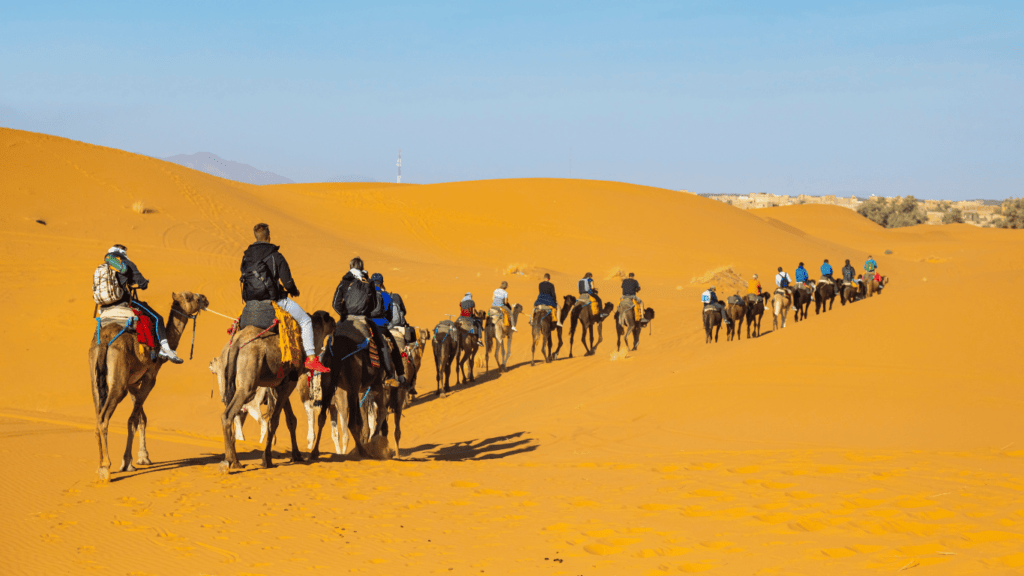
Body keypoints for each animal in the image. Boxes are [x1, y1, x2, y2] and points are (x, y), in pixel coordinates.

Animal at [90, 289, 207, 477]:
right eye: (189, 297)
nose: (204, 298)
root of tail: (106, 338)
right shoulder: (150, 377)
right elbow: (133, 419)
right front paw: (127, 462)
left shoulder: (132, 382)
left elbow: (140, 417)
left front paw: (142, 457)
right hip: (118, 383)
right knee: (103, 417)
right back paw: (105, 467)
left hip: (95, 376)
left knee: (98, 414)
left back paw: (99, 465)